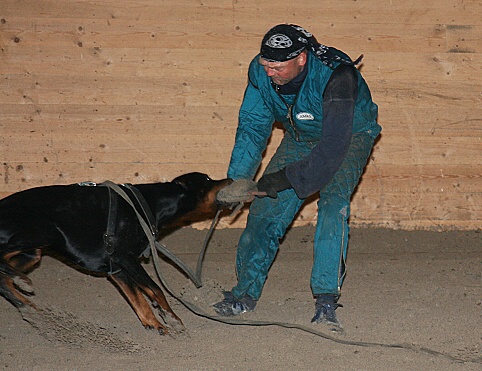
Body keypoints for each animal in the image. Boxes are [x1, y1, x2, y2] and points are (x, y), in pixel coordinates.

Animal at [0, 173, 233, 336]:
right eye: (207, 179)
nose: (230, 178)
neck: (147, 205)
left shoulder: (117, 269)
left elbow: (138, 297)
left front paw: (154, 322)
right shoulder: (124, 257)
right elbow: (155, 288)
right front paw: (171, 317)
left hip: (32, 254)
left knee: (4, 279)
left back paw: (26, 304)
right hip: (42, 232)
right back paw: (22, 281)